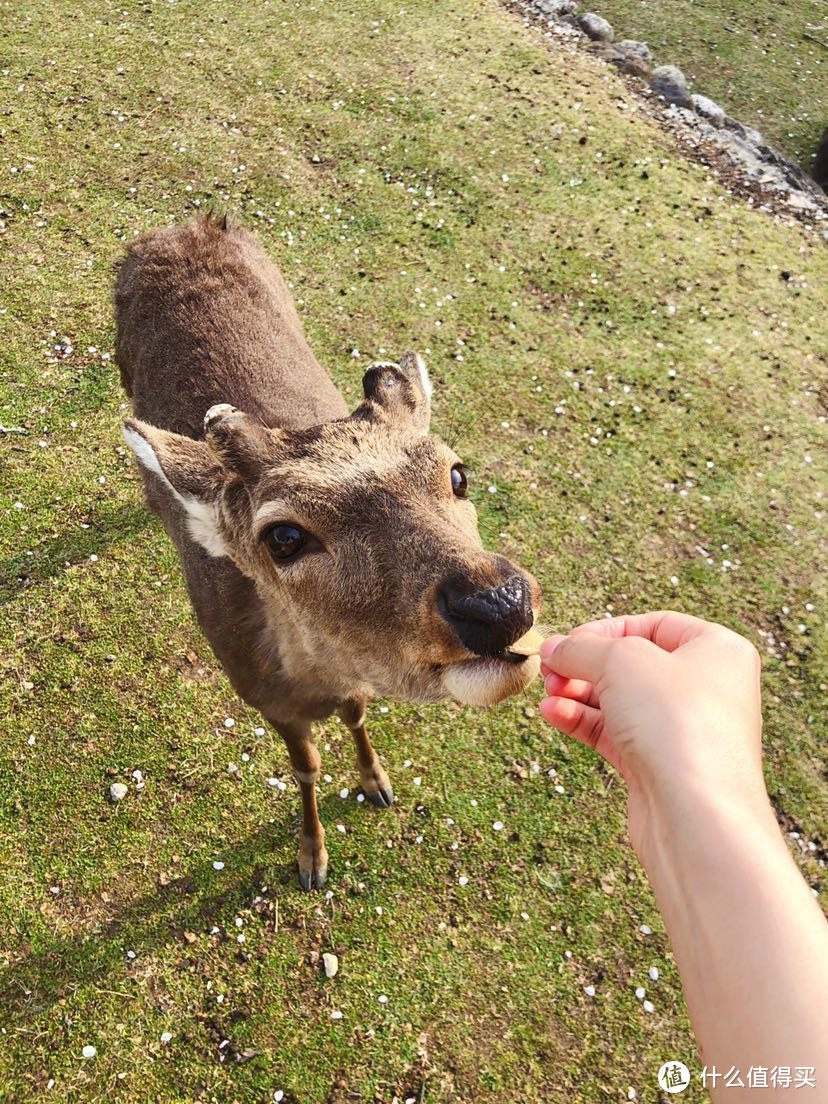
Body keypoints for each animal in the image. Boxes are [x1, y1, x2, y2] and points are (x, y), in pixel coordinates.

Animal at [117, 215, 545, 887]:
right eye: (284, 536)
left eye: (457, 474)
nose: (500, 604)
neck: (310, 680)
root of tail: (188, 224)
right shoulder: (262, 700)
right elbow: (306, 767)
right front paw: (311, 858)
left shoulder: (353, 688)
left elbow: (359, 719)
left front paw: (377, 783)